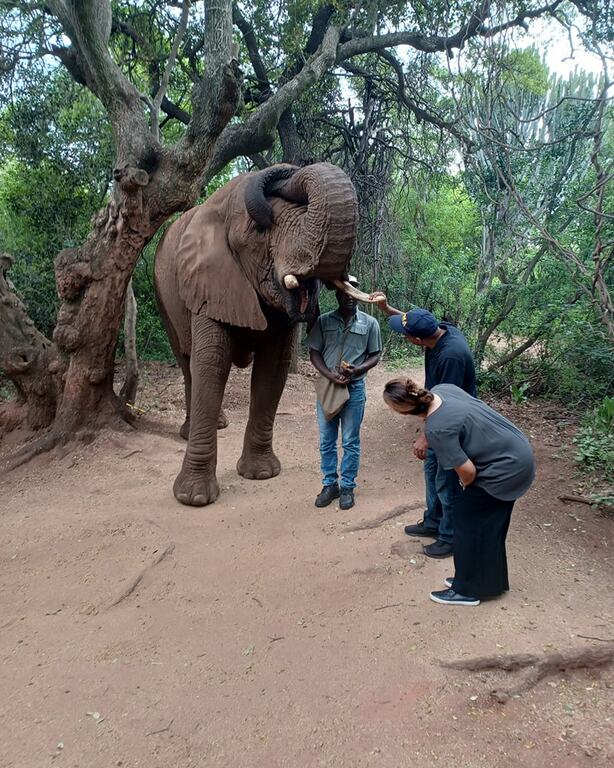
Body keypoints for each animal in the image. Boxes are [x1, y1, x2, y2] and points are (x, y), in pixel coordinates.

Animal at [154, 162, 359, 506]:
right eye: (259, 232)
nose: (284, 170)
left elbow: (272, 369)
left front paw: (262, 473)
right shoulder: (208, 282)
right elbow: (211, 364)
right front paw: (194, 497)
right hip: (164, 295)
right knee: (185, 359)